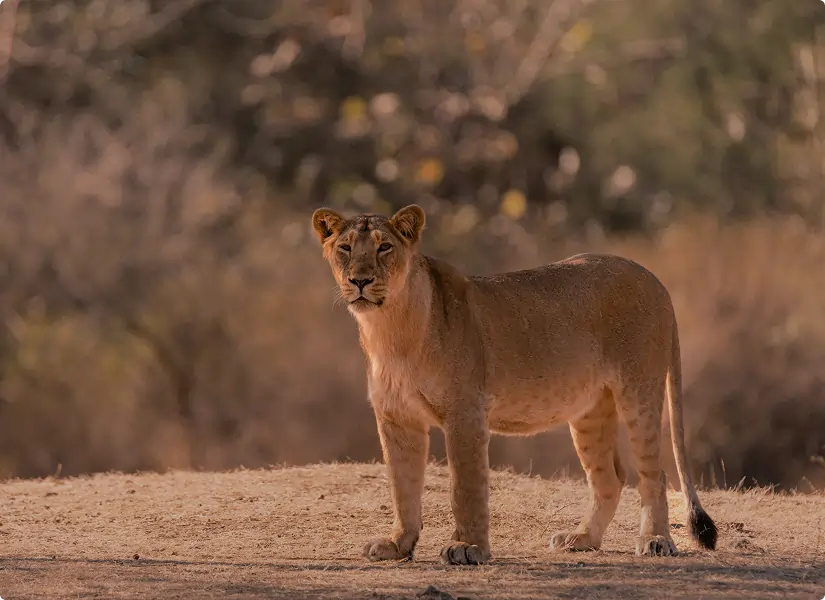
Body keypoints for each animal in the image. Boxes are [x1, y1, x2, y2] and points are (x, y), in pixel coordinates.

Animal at [311, 204, 718, 566]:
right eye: (345, 248)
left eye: (384, 247)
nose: (360, 281)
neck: (390, 330)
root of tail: (654, 277)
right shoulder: (396, 418)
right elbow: (402, 485)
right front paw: (398, 545)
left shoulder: (466, 413)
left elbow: (465, 486)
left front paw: (467, 548)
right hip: (591, 410)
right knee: (610, 478)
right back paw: (581, 539)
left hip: (639, 391)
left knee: (655, 473)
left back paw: (655, 540)